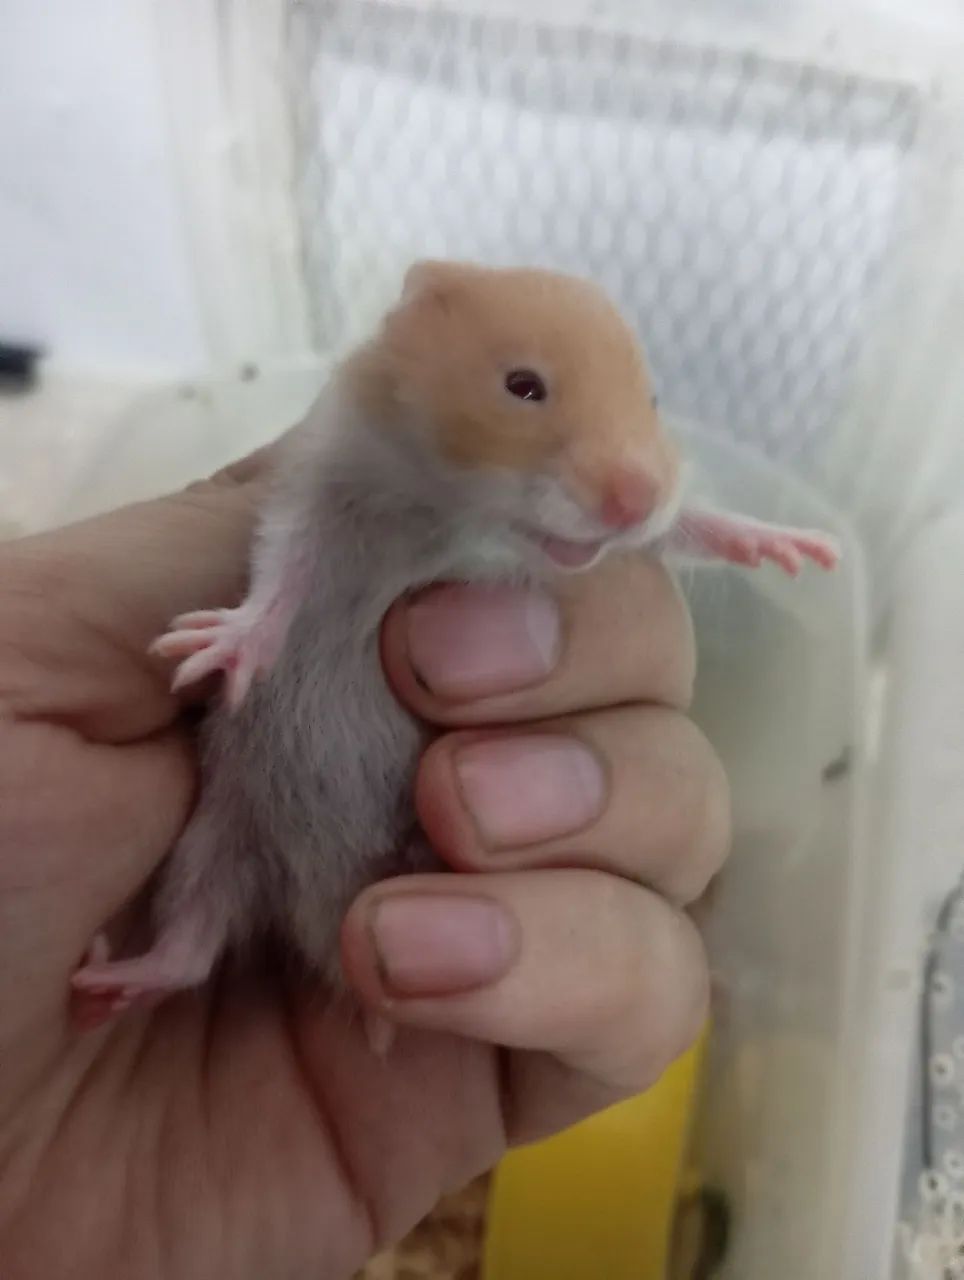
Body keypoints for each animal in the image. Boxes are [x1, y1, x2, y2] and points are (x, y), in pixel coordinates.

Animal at [71, 261, 838, 1032]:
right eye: (523, 385)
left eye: (652, 400)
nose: (635, 500)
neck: (456, 510)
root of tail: (324, 921)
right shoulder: (320, 490)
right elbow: (283, 570)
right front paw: (210, 653)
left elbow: (689, 527)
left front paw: (801, 550)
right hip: (218, 836)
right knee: (191, 942)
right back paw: (101, 980)